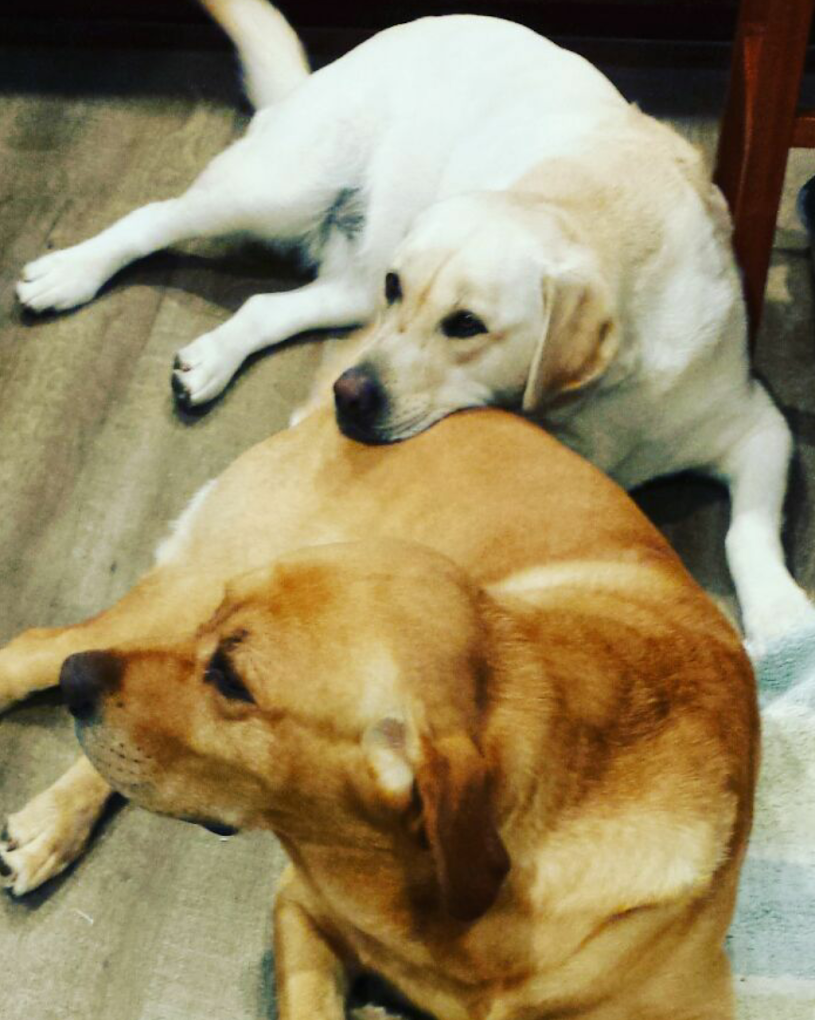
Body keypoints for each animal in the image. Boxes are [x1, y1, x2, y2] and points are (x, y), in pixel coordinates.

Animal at [13, 1, 809, 652]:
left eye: (467, 324)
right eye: (407, 291)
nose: (345, 397)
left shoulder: (758, 426)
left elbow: (749, 529)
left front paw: (778, 615)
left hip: (350, 283)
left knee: (268, 305)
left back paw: (210, 359)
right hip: (286, 198)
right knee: (155, 218)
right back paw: (67, 275)